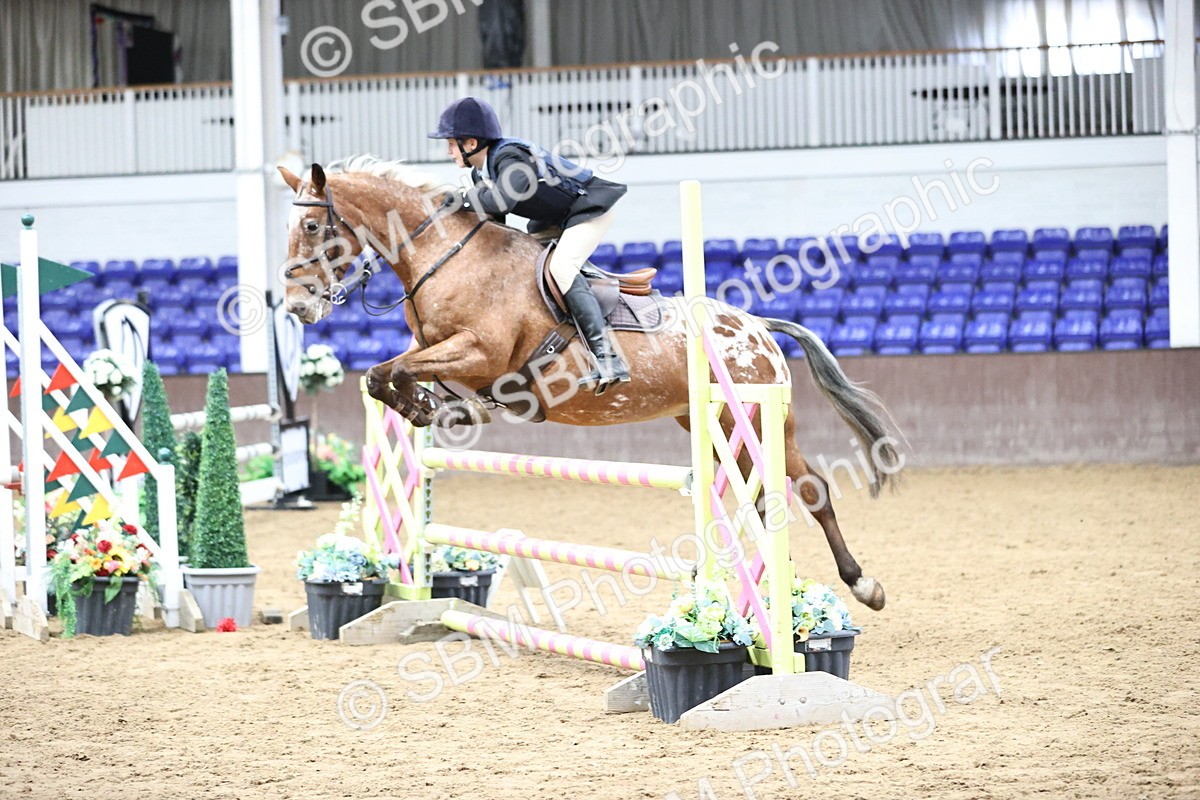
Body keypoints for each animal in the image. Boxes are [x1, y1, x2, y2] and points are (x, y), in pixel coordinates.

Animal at [277, 156, 900, 611]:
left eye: (310, 226)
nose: (297, 307)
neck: (443, 256)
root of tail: (758, 327)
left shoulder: (480, 352)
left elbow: (401, 371)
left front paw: (442, 410)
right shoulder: (439, 350)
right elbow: (383, 374)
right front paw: (437, 410)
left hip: (749, 417)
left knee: (811, 490)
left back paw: (862, 586)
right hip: (716, 427)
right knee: (773, 496)